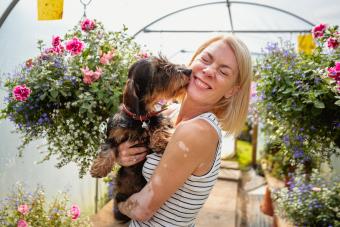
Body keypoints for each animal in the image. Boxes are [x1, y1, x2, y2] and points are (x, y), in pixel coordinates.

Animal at [90, 55, 191, 223]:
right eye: (158, 70)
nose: (188, 70)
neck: (140, 118)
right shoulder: (113, 134)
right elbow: (107, 149)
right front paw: (99, 168)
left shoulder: (159, 119)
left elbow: (160, 126)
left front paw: (161, 141)